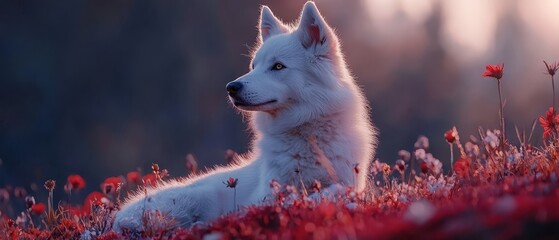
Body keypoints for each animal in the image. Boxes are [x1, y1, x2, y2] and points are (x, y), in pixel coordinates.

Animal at [113, 0, 376, 232]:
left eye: (278, 66)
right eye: (253, 66)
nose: (231, 87)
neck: (306, 134)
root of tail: (116, 219)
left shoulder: (348, 179)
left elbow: (338, 190)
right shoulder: (264, 198)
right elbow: (313, 195)